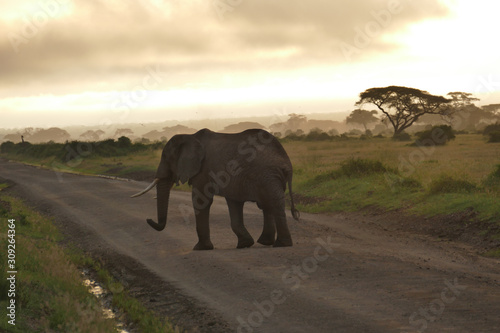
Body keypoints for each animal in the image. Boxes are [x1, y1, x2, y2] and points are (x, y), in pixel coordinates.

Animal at [131, 128, 298, 250]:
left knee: (273, 203)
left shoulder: (203, 170)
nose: (148, 219)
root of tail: (286, 162)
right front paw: (244, 244)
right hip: (268, 177)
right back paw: (267, 242)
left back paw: (280, 244)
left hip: (267, 174)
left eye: (166, 158)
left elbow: (201, 200)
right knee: (267, 204)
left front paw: (200, 248)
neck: (190, 137)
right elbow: (234, 203)